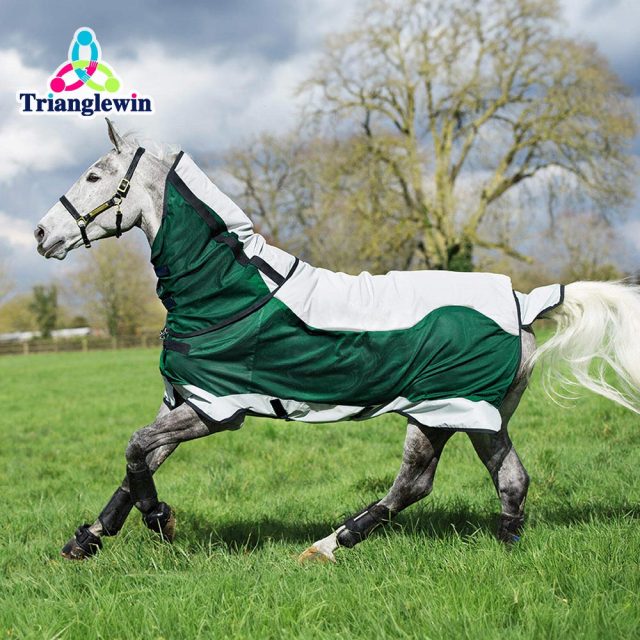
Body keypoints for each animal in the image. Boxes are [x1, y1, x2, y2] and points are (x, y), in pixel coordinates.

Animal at [34, 119, 640, 562]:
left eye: (95, 177)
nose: (42, 235)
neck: (230, 292)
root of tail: (523, 302)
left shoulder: (217, 409)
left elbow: (136, 449)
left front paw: (160, 521)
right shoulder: (187, 401)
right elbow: (138, 461)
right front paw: (87, 540)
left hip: (448, 410)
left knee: (419, 483)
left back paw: (331, 545)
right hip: (469, 416)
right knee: (500, 479)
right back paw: (490, 543)